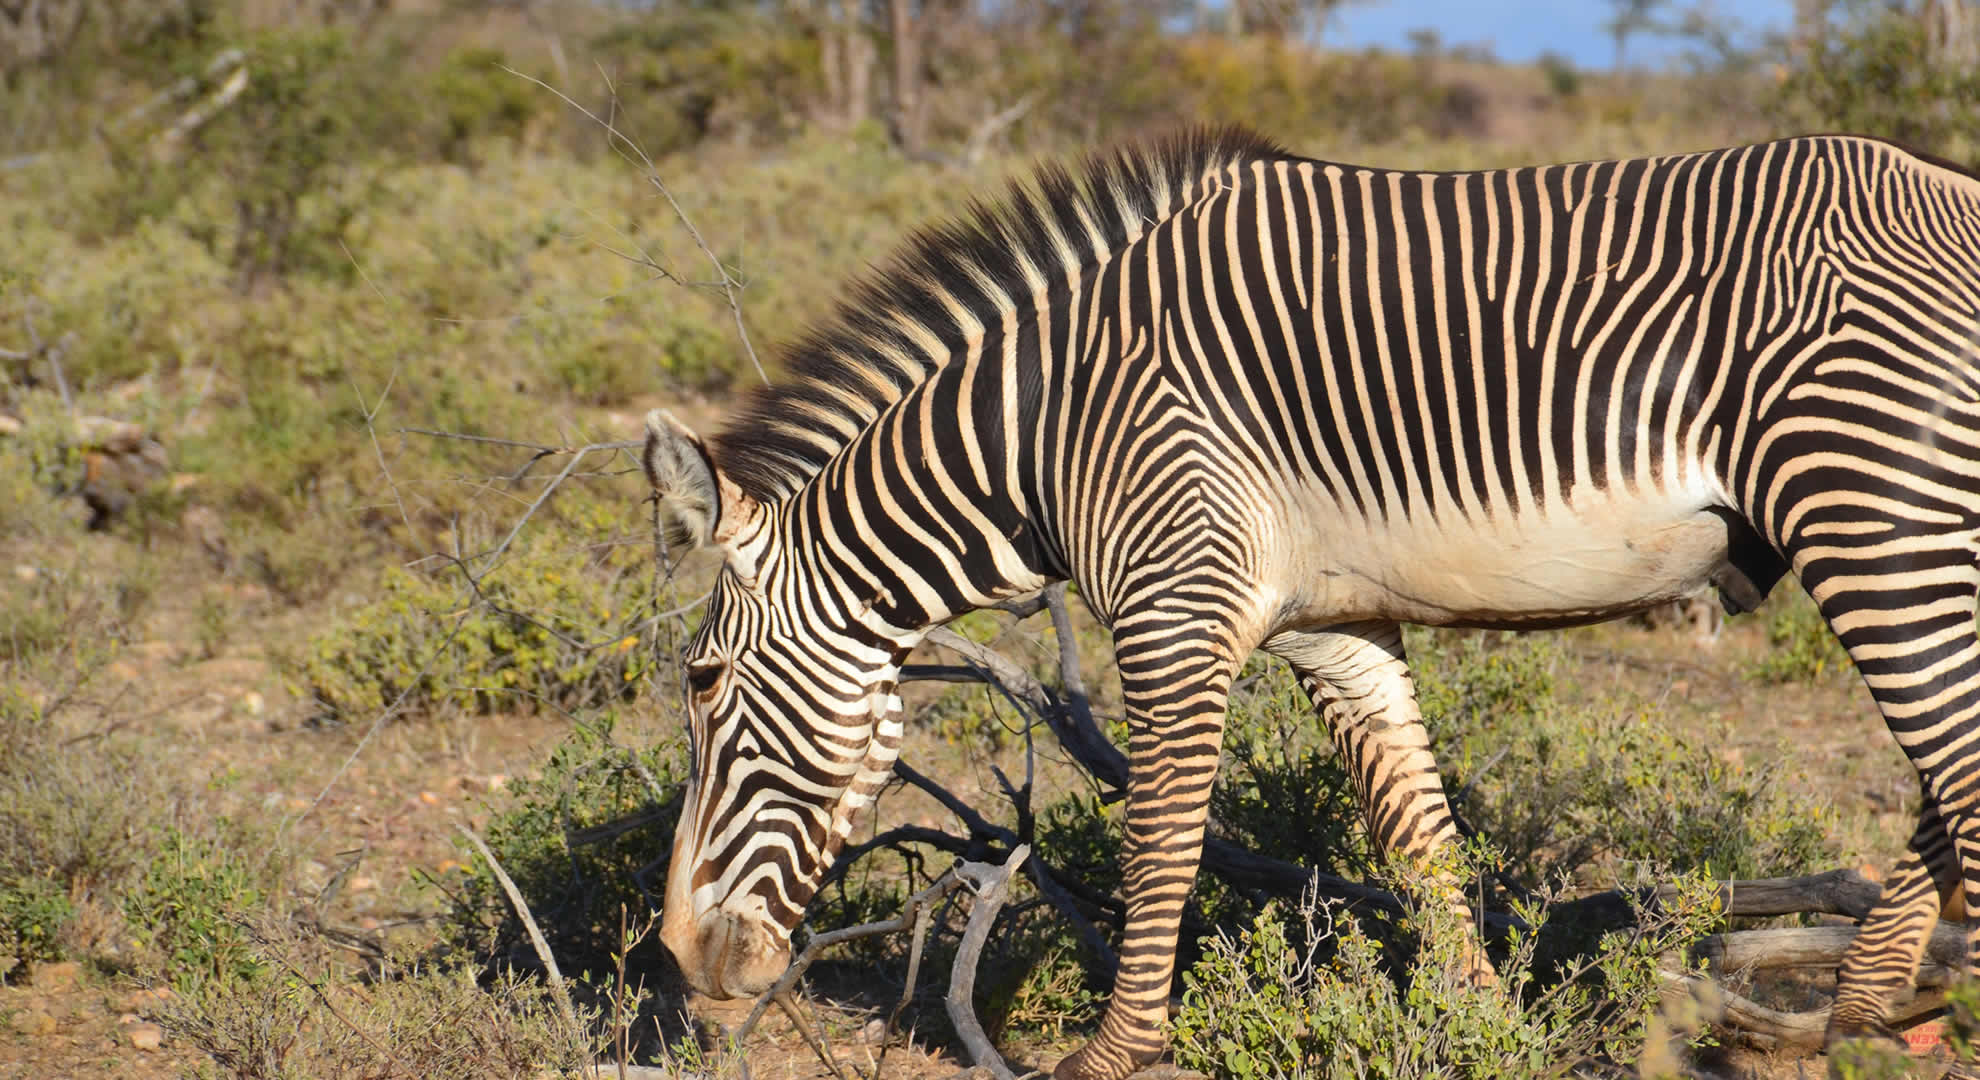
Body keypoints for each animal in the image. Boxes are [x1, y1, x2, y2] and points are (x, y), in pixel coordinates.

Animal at [641, 130, 1980, 1070]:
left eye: (702, 686)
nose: (683, 961)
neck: (1048, 433)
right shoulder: (1336, 628)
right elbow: (1419, 838)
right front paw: (1482, 1031)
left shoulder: (1173, 604)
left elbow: (1163, 838)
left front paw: (1116, 1055)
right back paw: (1860, 1011)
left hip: (1874, 516)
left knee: (1956, 772)